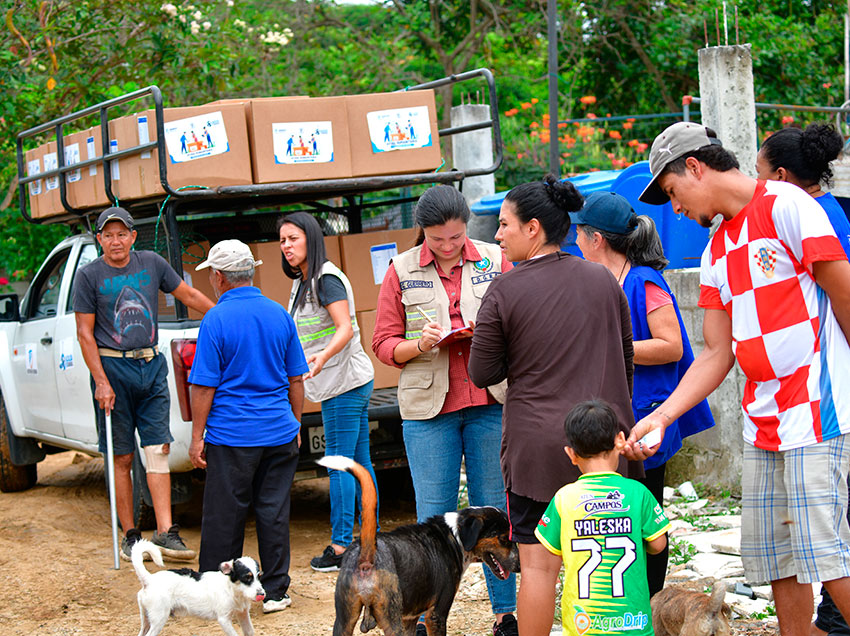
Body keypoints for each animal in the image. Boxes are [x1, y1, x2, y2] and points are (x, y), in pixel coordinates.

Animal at [131, 539, 265, 636]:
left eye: (259, 576)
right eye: (247, 577)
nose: (261, 594)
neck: (232, 590)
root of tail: (149, 579)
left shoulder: (243, 614)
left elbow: (250, 631)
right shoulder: (224, 619)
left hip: (146, 618)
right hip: (159, 618)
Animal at [317, 455, 520, 636]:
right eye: (504, 539)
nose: (519, 567)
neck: (455, 535)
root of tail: (368, 553)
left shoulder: (410, 619)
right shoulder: (436, 615)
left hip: (344, 621)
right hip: (391, 621)